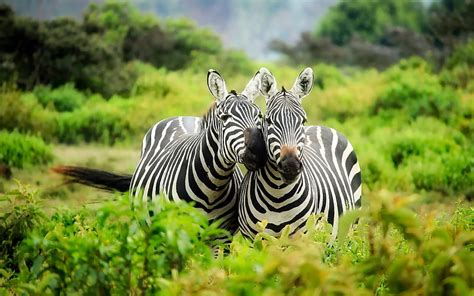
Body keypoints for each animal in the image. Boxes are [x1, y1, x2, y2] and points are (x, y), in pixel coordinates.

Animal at [54, 69, 268, 231]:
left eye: (259, 116)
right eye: (224, 118)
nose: (258, 152)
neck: (212, 187)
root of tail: (182, 117)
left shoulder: (220, 237)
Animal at [237, 67, 362, 240]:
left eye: (303, 121)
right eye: (268, 120)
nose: (290, 166)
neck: (277, 197)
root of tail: (322, 126)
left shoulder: (302, 238)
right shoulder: (251, 239)